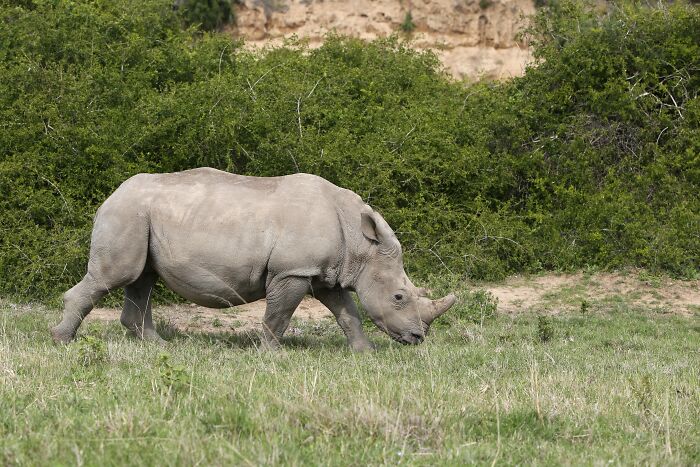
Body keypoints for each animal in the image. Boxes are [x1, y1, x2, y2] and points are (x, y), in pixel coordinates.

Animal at [51, 168, 455, 350]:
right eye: (399, 296)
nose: (418, 338)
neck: (360, 245)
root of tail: (110, 195)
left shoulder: (324, 271)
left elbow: (348, 313)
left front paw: (365, 352)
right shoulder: (293, 271)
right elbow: (279, 314)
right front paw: (272, 353)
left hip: (141, 216)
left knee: (142, 279)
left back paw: (160, 347)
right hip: (126, 214)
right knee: (116, 277)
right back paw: (62, 341)